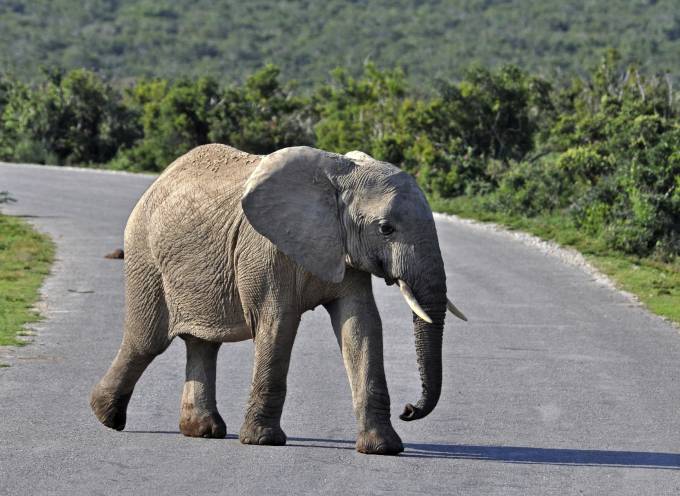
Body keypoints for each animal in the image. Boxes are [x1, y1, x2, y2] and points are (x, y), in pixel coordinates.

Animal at [90, 144, 466, 455]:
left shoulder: (345, 249)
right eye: (386, 229)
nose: (409, 410)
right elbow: (278, 322)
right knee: (146, 341)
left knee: (203, 344)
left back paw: (202, 430)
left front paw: (383, 448)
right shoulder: (266, 250)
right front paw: (262, 441)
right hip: (145, 255)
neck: (339, 177)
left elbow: (361, 326)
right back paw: (106, 416)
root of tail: (159, 179)